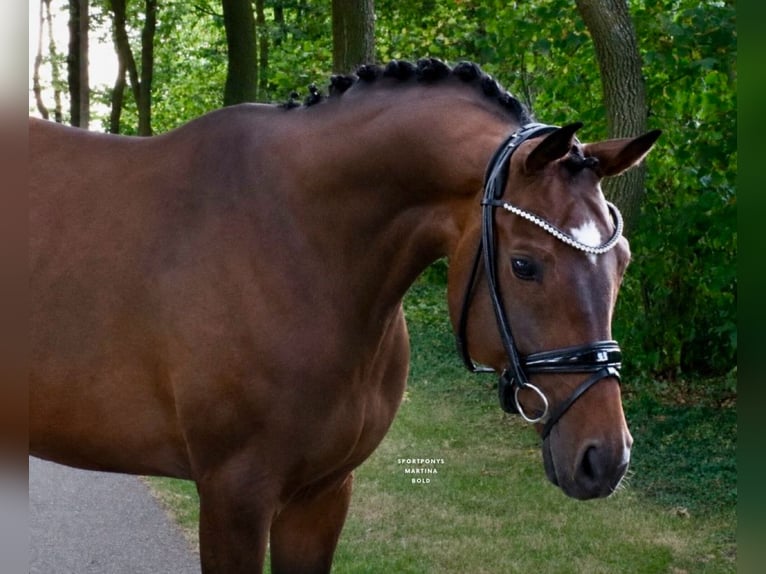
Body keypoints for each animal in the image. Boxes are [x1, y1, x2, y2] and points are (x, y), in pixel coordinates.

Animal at [29, 58, 660, 573]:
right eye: (525, 265)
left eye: (624, 261)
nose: (606, 457)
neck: (297, 241)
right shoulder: (234, 497)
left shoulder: (323, 496)